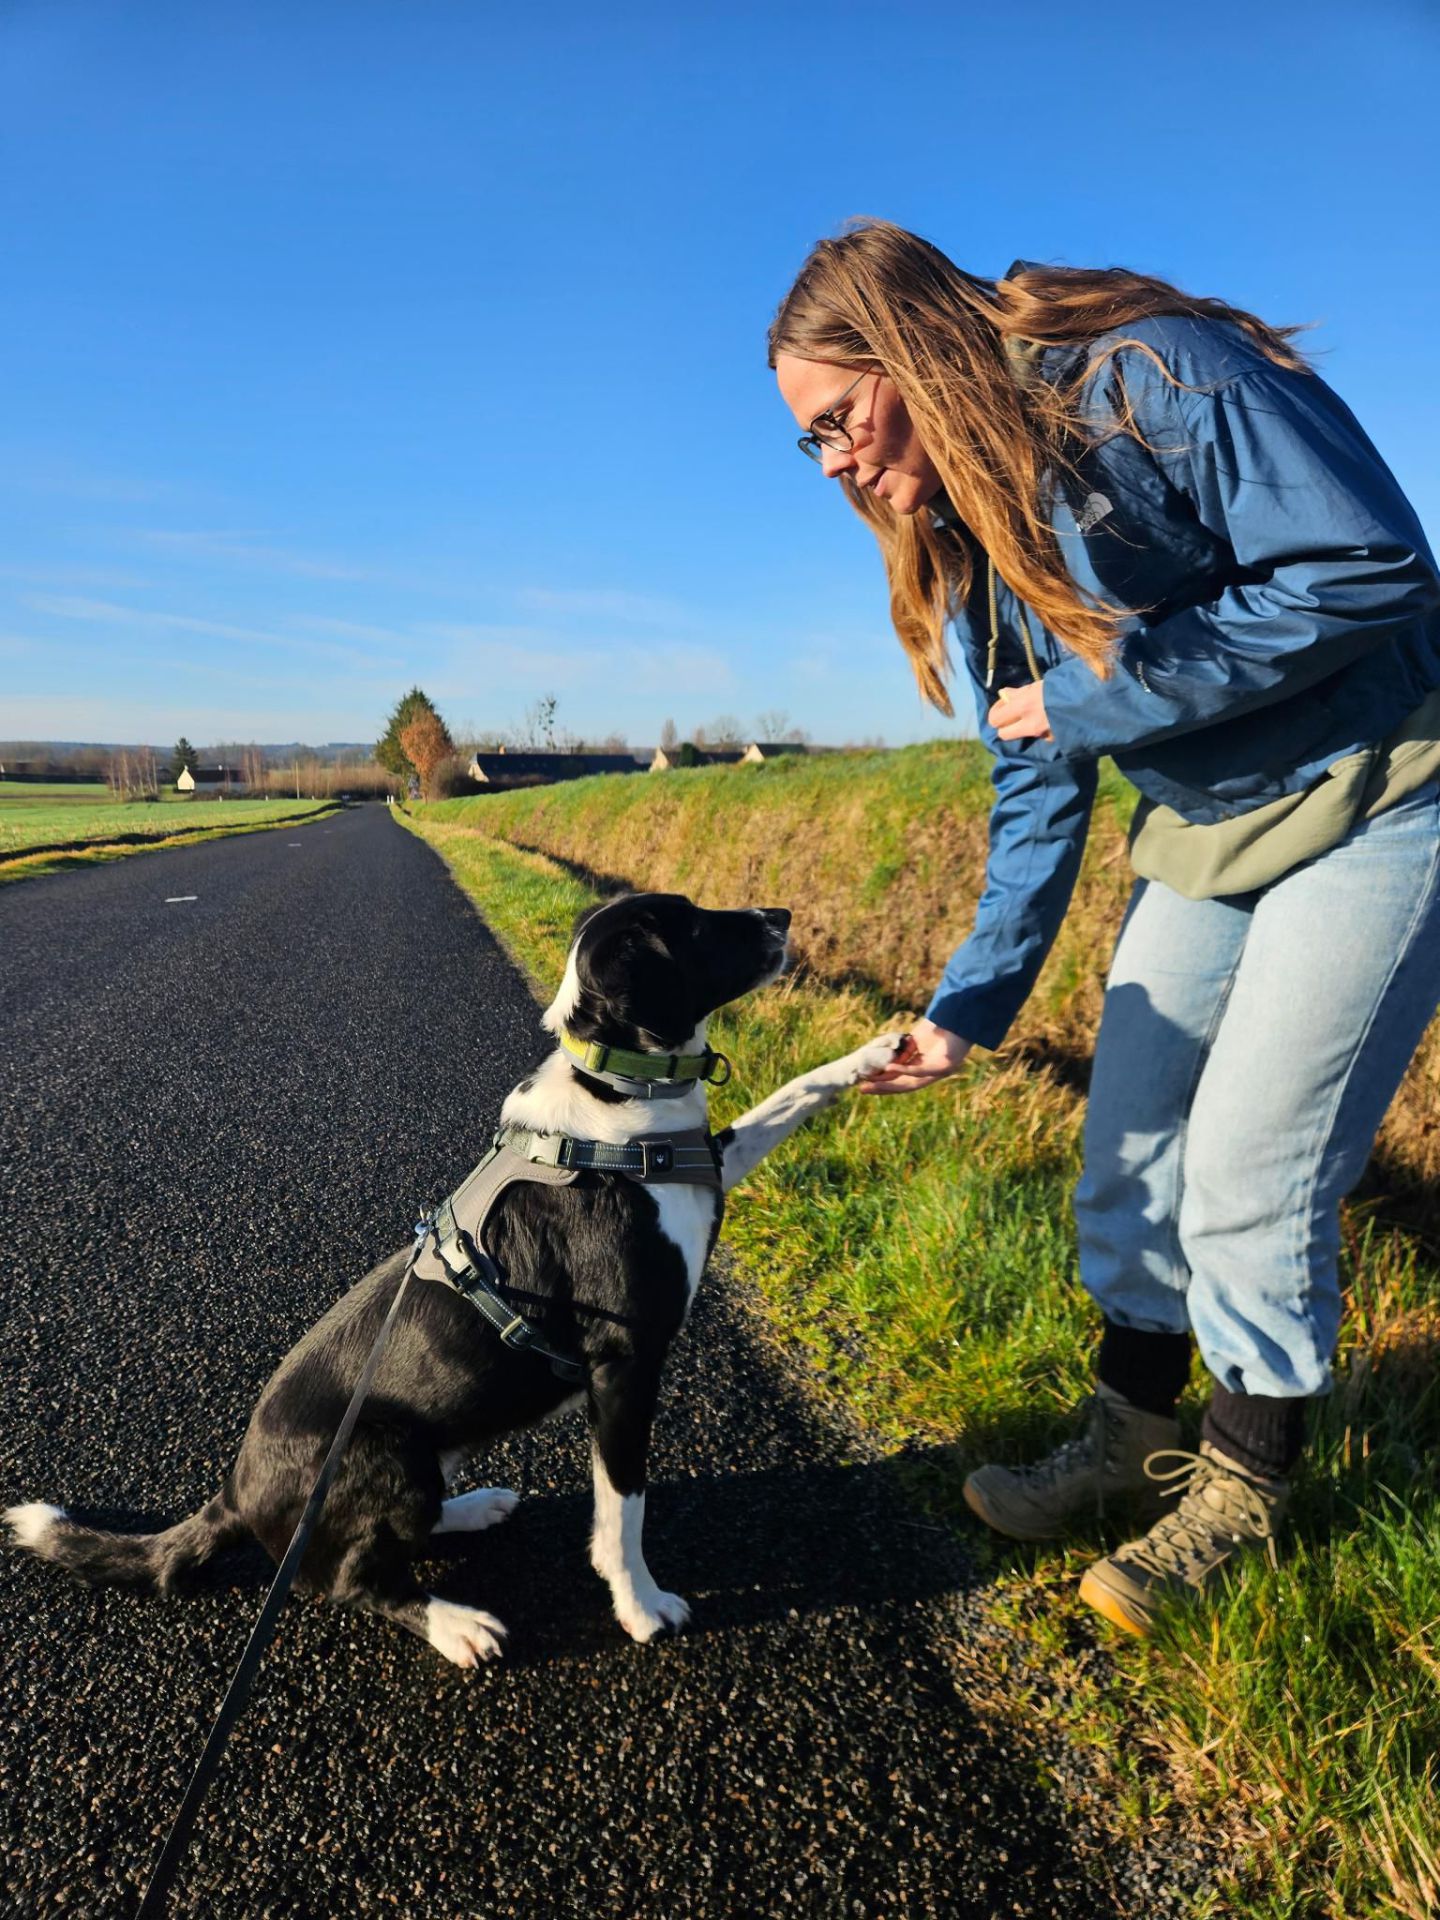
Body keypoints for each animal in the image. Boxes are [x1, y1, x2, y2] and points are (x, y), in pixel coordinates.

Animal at [7, 892, 902, 1665]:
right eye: (688, 925)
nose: (781, 915)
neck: (618, 1100)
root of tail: (233, 1492)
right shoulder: (624, 1365)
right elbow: (624, 1509)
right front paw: (642, 1608)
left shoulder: (707, 1167)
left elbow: (786, 1099)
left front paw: (878, 1052)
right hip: (384, 1453)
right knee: (351, 1580)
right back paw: (455, 1625)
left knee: (405, 1532)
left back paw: (473, 1510)